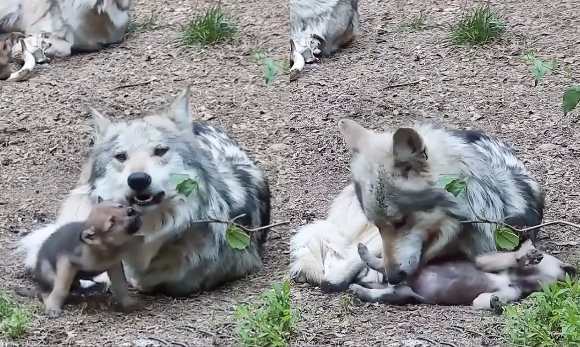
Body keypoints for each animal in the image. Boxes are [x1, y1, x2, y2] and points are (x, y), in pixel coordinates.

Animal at [348, 241, 576, 312]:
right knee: (382, 266)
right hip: (416, 266)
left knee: (384, 292)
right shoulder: (486, 262)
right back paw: (363, 253)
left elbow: (484, 300)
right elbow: (509, 258)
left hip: (404, 293)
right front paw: (527, 255)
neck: (520, 278)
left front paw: (495, 303)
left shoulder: (511, 291)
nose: (572, 271)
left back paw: (359, 289)